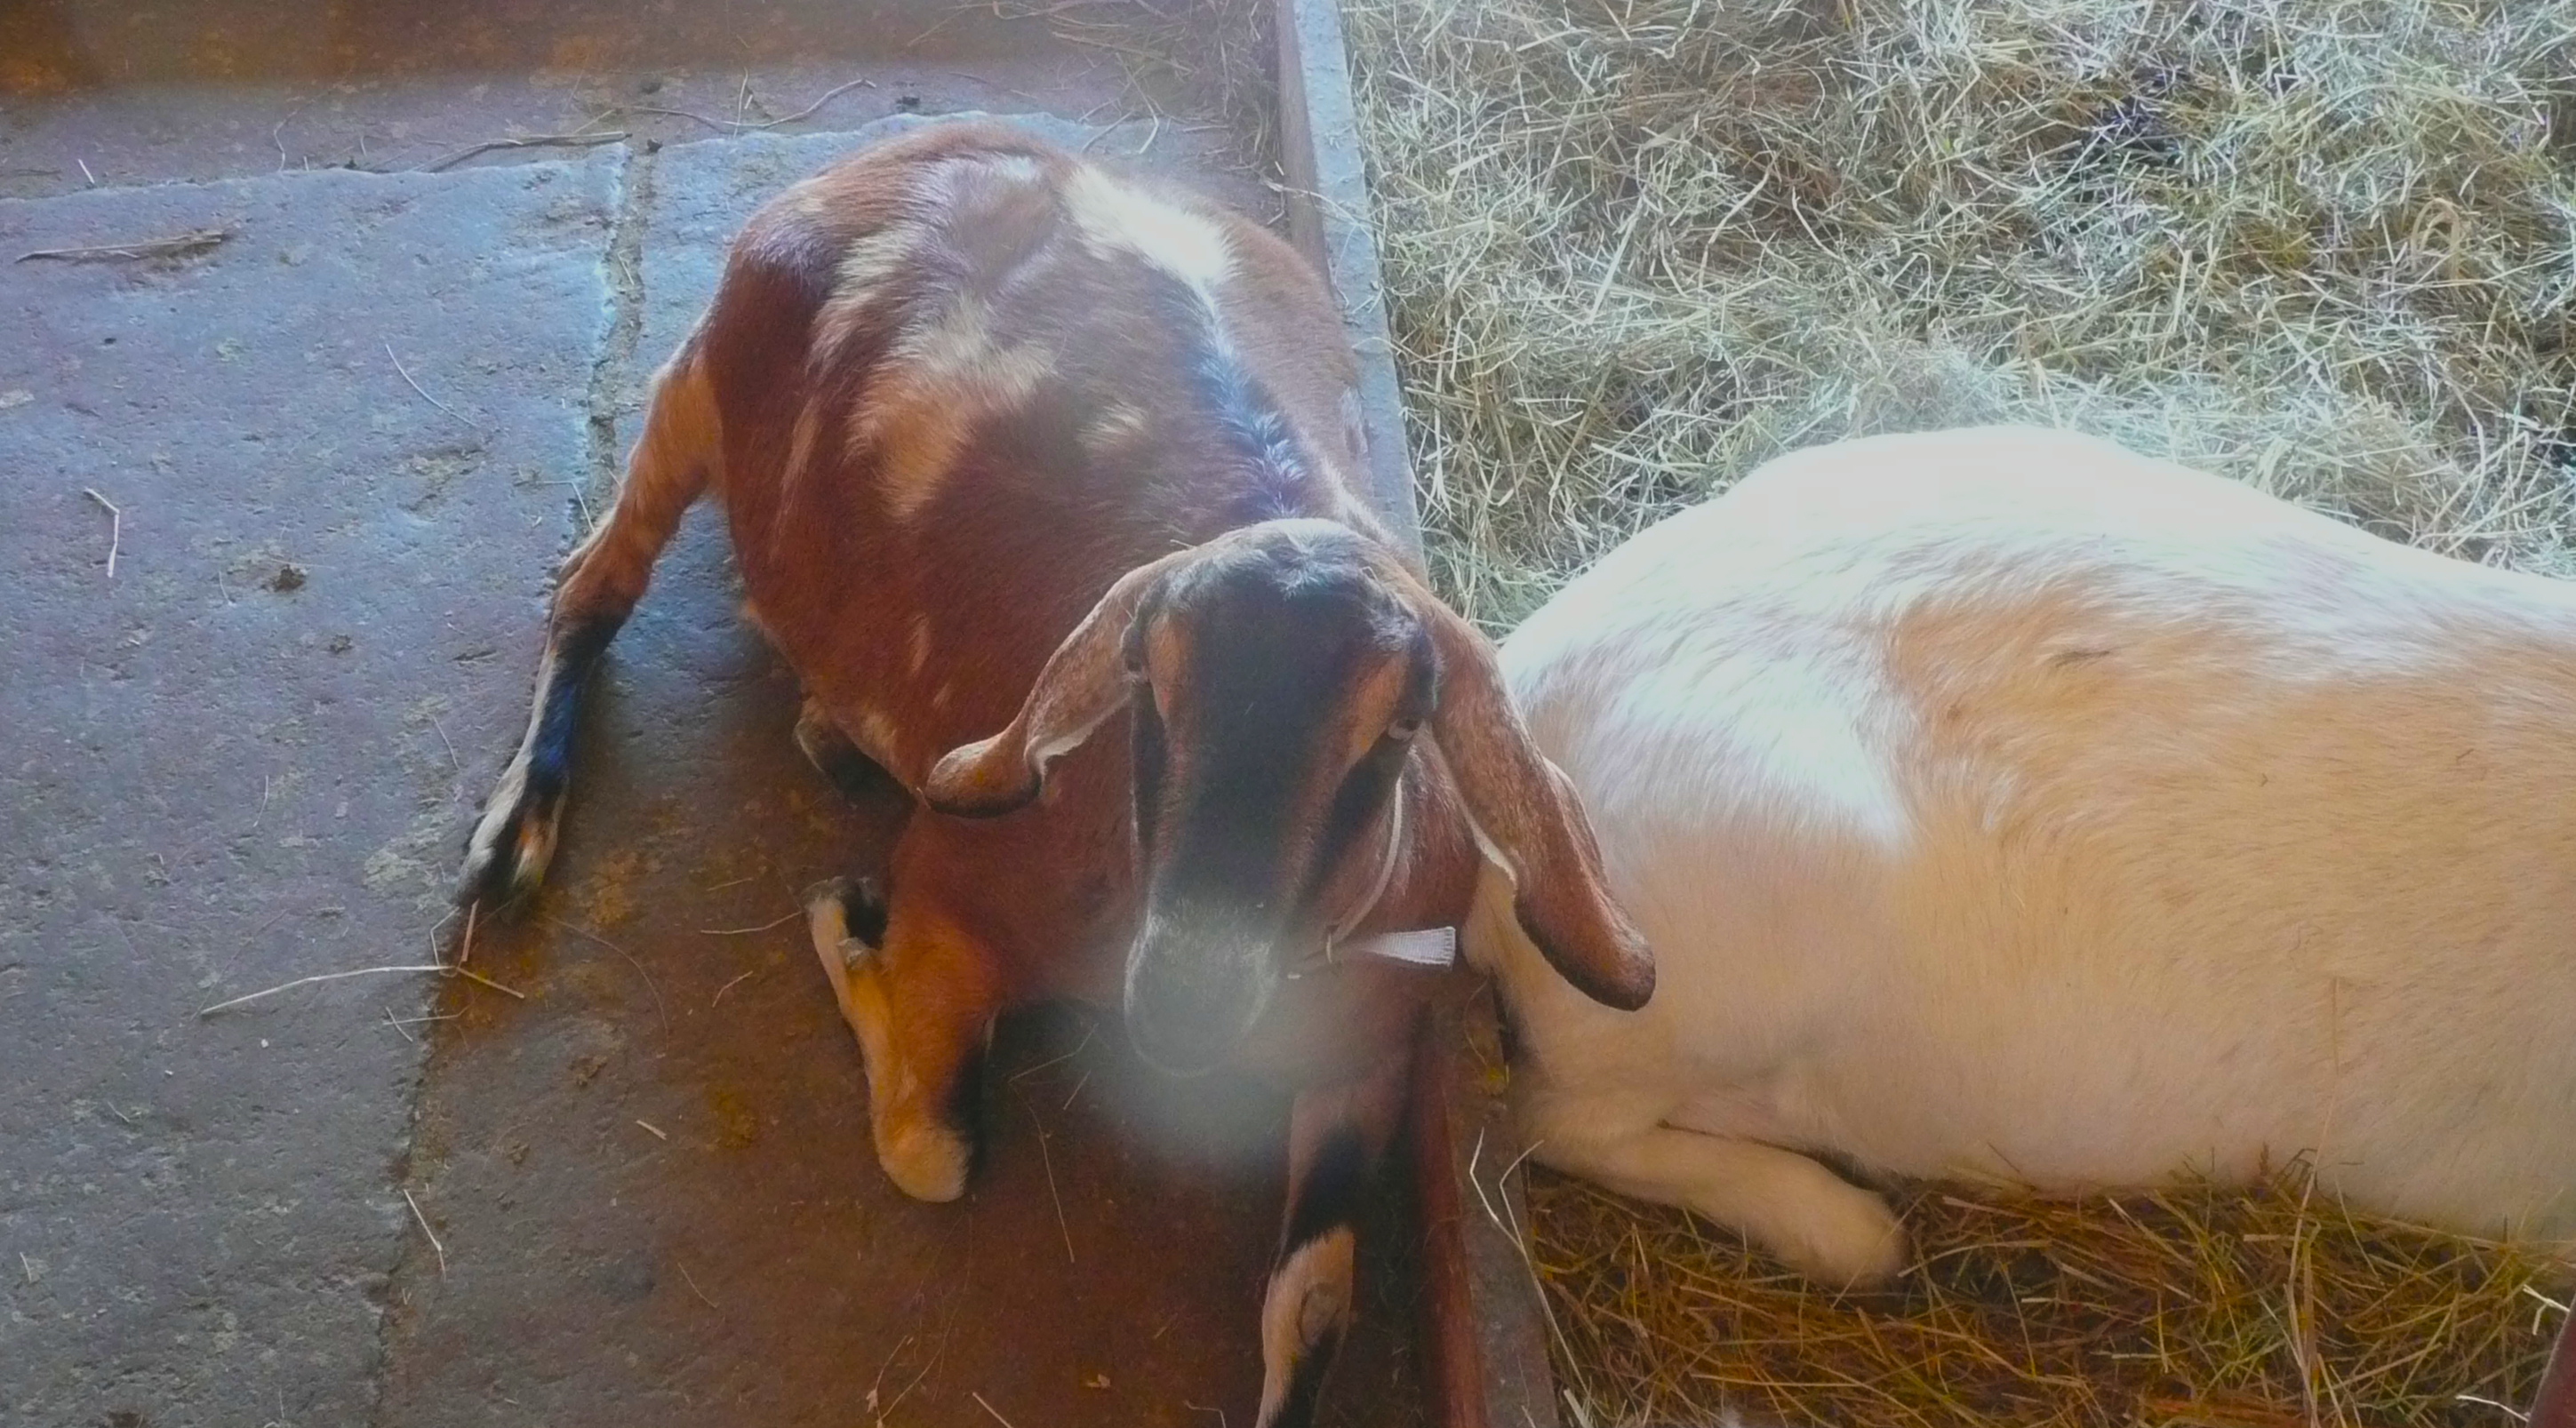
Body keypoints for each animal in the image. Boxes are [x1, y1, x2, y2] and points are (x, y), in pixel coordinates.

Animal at [458, 120, 1653, 1426]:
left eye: (1394, 730)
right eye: (1150, 683)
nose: (1186, 995)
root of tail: (946, 144)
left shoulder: (1369, 1052)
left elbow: (1314, 1306)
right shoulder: (954, 890)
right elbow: (930, 1150)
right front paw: (844, 918)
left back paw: (826, 732)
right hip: (692, 391)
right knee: (590, 590)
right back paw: (513, 836)